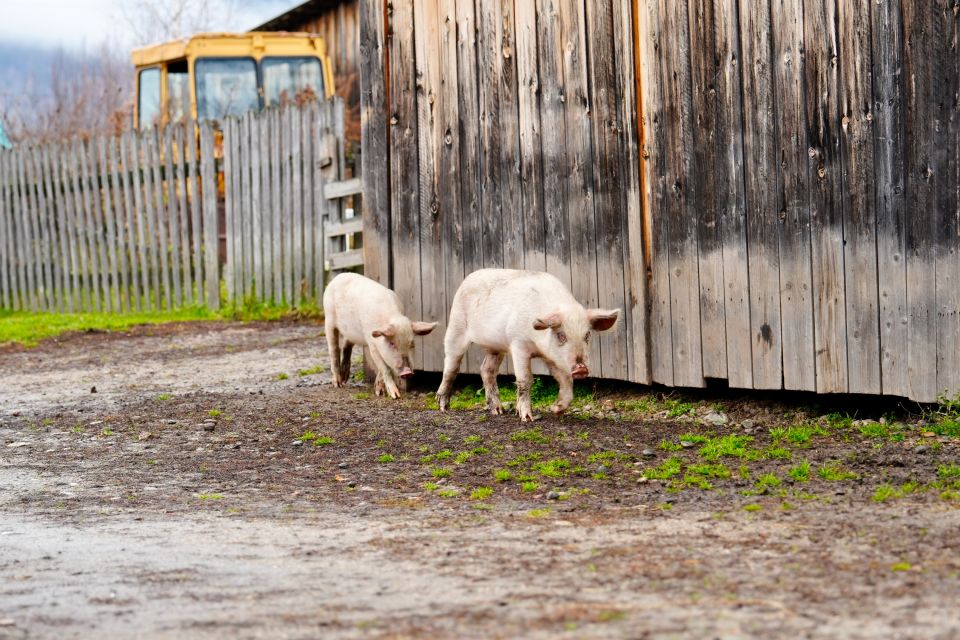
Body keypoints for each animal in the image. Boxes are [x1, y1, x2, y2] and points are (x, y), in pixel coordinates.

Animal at [436, 268, 624, 422]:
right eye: (561, 335)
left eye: (587, 335)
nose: (581, 369)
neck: (537, 348)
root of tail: (469, 277)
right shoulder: (518, 344)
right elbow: (525, 379)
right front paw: (527, 418)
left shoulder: (552, 357)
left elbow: (565, 380)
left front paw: (556, 409)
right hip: (456, 327)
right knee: (451, 367)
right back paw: (443, 407)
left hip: (496, 348)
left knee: (486, 370)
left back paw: (498, 411)